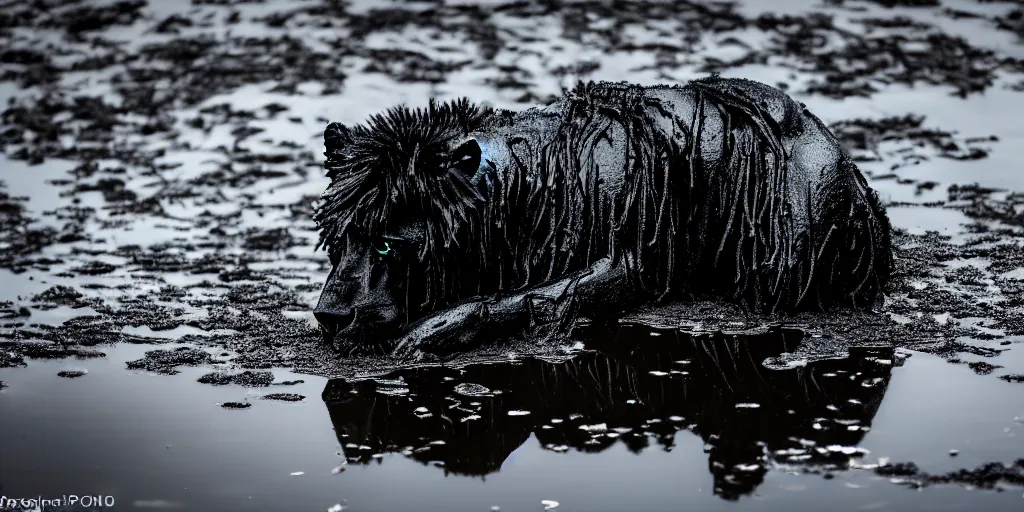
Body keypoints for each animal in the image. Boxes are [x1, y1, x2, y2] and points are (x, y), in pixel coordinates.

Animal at [311, 75, 888, 358]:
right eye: (335, 240)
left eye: (388, 244)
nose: (330, 316)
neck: (540, 177)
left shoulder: (630, 260)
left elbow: (543, 294)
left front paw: (439, 327)